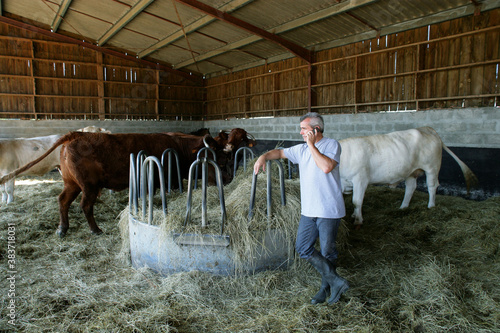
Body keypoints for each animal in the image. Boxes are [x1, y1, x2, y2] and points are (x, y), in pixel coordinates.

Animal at [0, 130, 219, 236]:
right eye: (216, 155)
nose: (224, 179)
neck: (177, 147)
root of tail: (77, 134)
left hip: (71, 183)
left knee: (63, 201)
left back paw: (62, 228)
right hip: (88, 186)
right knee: (85, 205)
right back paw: (95, 229)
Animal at [338, 126, 478, 226]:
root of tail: (426, 128)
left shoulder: (360, 179)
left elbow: (357, 201)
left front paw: (358, 220)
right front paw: (353, 215)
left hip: (432, 168)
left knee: (432, 186)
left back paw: (431, 206)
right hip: (411, 172)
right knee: (410, 187)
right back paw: (403, 207)